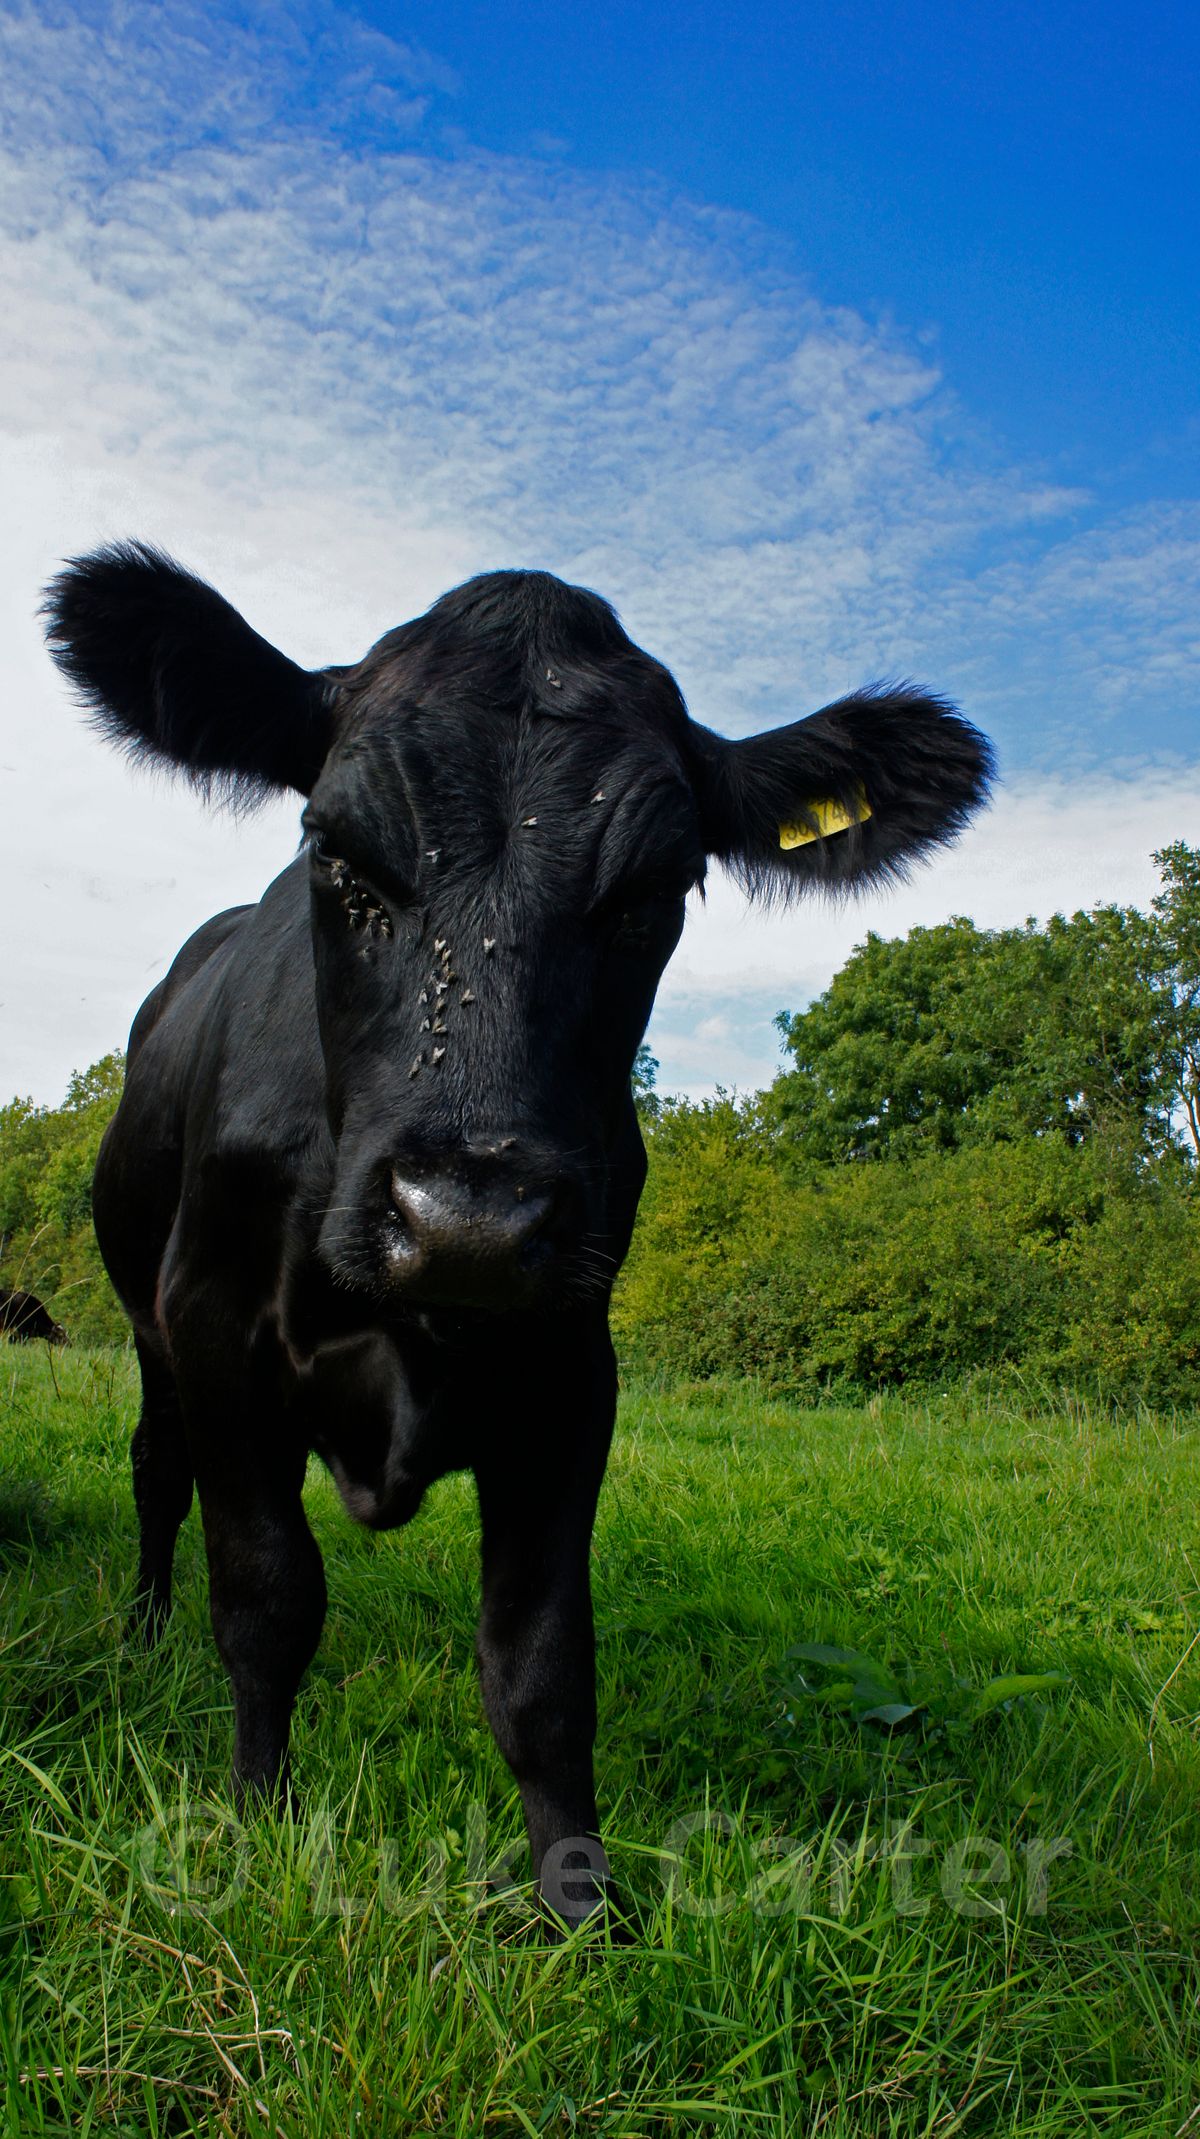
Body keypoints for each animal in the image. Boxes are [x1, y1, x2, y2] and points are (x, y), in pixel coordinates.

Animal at [45, 543, 991, 1928]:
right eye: (336, 851)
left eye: (656, 890)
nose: (469, 1222)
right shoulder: (215, 1332)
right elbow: (267, 1597)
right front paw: (259, 1823)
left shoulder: (568, 1367)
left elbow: (542, 1666)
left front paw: (582, 1905)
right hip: (147, 1329)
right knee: (157, 1474)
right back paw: (144, 1631)